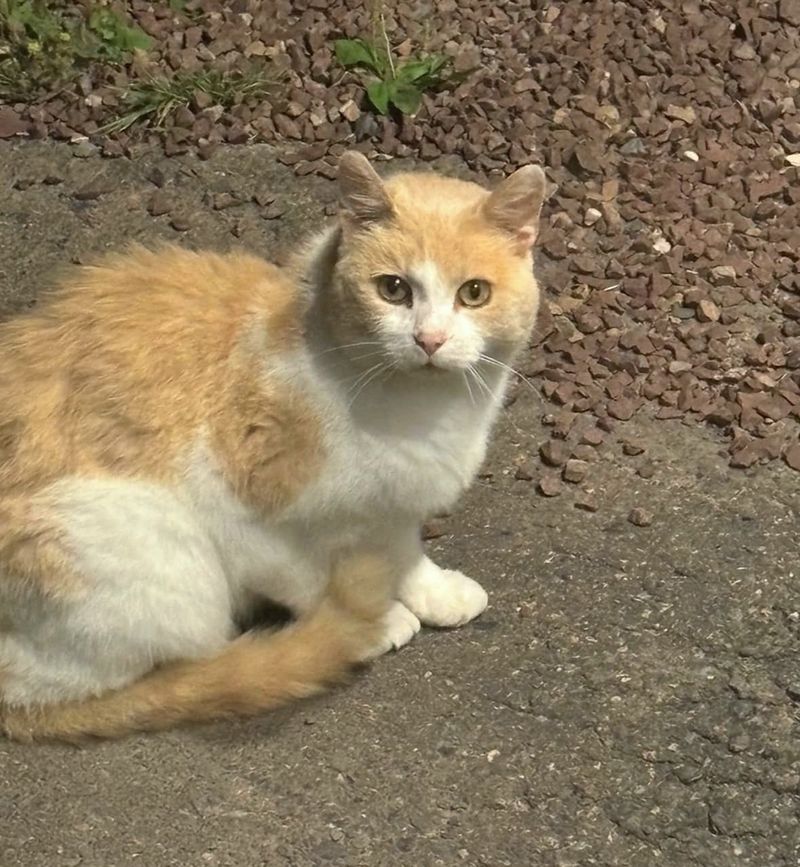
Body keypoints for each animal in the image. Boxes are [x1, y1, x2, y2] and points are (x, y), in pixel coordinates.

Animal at [0, 153, 544, 744]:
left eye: (474, 293)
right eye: (394, 289)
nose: (430, 339)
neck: (417, 414)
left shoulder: (395, 498)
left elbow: (403, 545)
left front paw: (432, 590)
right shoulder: (240, 513)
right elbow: (306, 578)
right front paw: (370, 621)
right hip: (151, 554)